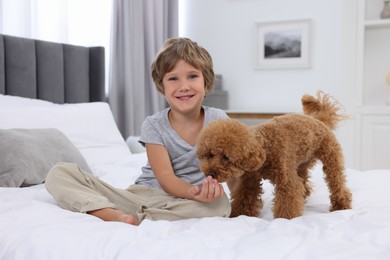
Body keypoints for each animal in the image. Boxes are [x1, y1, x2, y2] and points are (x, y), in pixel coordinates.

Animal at [197, 91, 352, 219]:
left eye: (226, 157)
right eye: (210, 154)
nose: (210, 174)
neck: (265, 148)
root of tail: (319, 121)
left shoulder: (286, 181)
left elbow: (287, 202)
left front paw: (285, 220)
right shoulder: (249, 181)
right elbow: (244, 198)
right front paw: (239, 215)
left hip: (331, 159)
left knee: (337, 182)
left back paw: (341, 205)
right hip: (300, 165)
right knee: (303, 183)